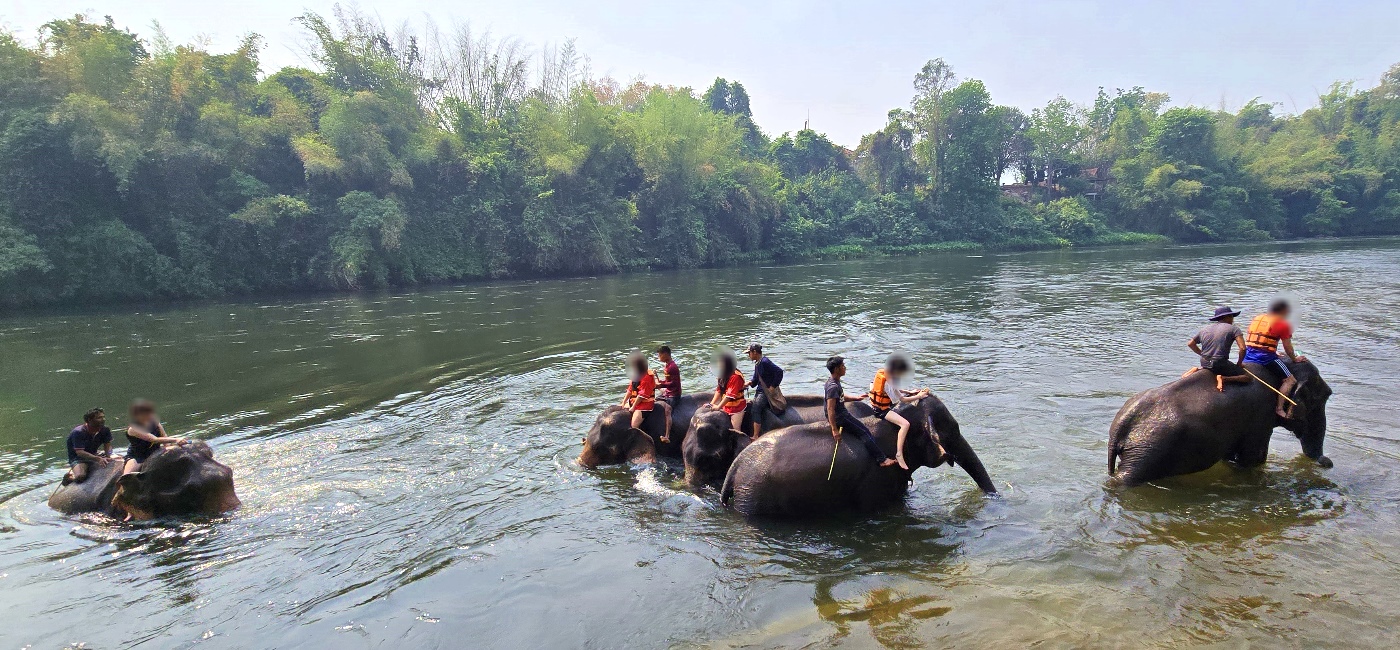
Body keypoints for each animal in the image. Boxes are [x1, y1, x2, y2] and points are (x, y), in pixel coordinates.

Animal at [1103, 361, 1332, 487]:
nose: (1327, 462)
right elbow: (1254, 459)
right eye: (1323, 398)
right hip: (1147, 453)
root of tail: (1121, 425)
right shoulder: (1261, 416)